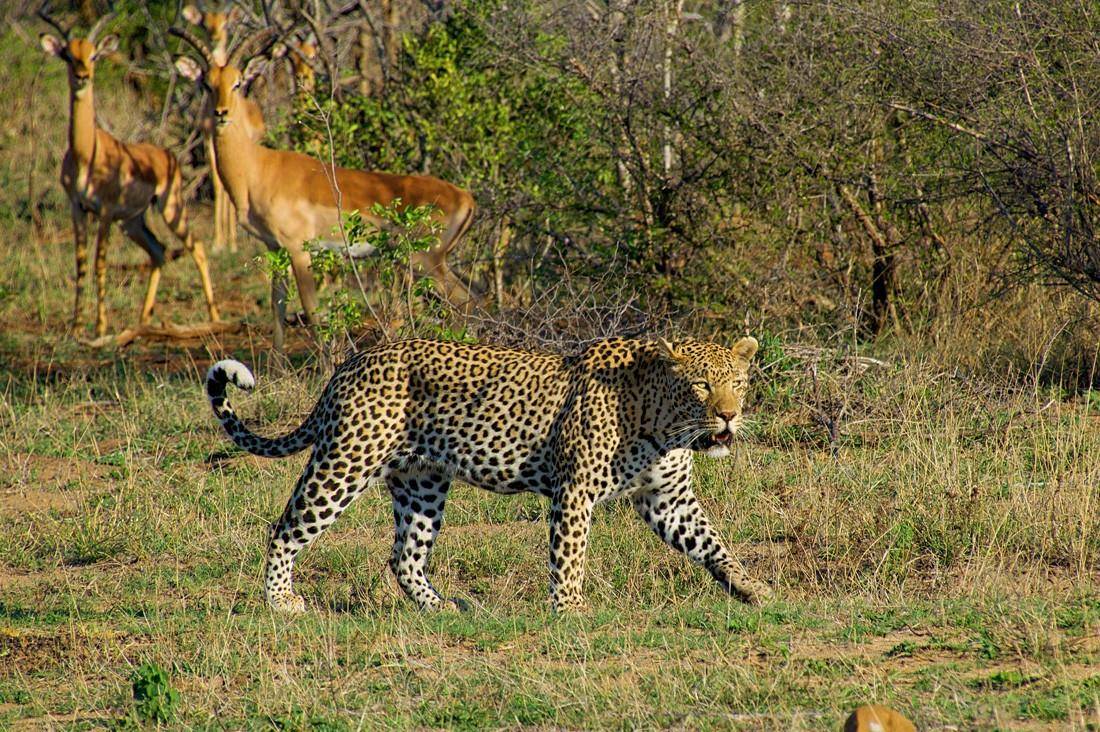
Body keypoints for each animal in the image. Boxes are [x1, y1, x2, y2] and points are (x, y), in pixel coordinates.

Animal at [207, 334, 774, 612]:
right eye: (701, 385)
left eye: (739, 382)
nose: (729, 415)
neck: (664, 422)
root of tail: (350, 364)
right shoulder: (575, 491)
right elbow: (570, 556)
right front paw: (570, 609)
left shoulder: (668, 499)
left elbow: (713, 543)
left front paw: (752, 589)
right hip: (345, 463)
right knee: (285, 529)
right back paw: (282, 602)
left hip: (422, 481)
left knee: (404, 556)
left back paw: (442, 609)